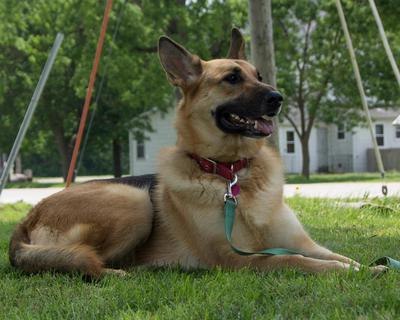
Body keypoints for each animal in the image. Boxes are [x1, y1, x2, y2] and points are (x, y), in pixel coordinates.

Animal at [8, 28, 384, 278]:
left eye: (258, 75)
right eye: (232, 78)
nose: (278, 98)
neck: (233, 174)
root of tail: (28, 218)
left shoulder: (303, 242)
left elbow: (340, 256)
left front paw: (367, 266)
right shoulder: (240, 259)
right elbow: (294, 260)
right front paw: (350, 272)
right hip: (133, 201)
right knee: (85, 261)